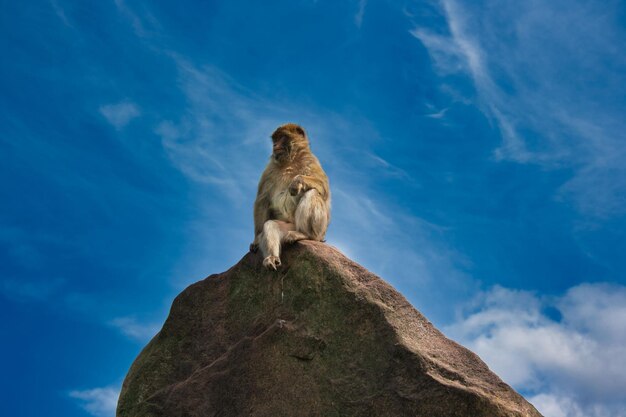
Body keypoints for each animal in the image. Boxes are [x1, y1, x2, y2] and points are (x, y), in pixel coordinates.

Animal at [249, 122, 330, 268]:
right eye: (275, 139)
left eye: (282, 137)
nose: (275, 145)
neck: (291, 160)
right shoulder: (269, 169)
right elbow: (262, 200)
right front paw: (257, 239)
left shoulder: (311, 160)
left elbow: (323, 188)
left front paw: (297, 181)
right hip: (288, 226)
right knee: (271, 225)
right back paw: (272, 258)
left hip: (318, 230)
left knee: (312, 192)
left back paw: (305, 235)